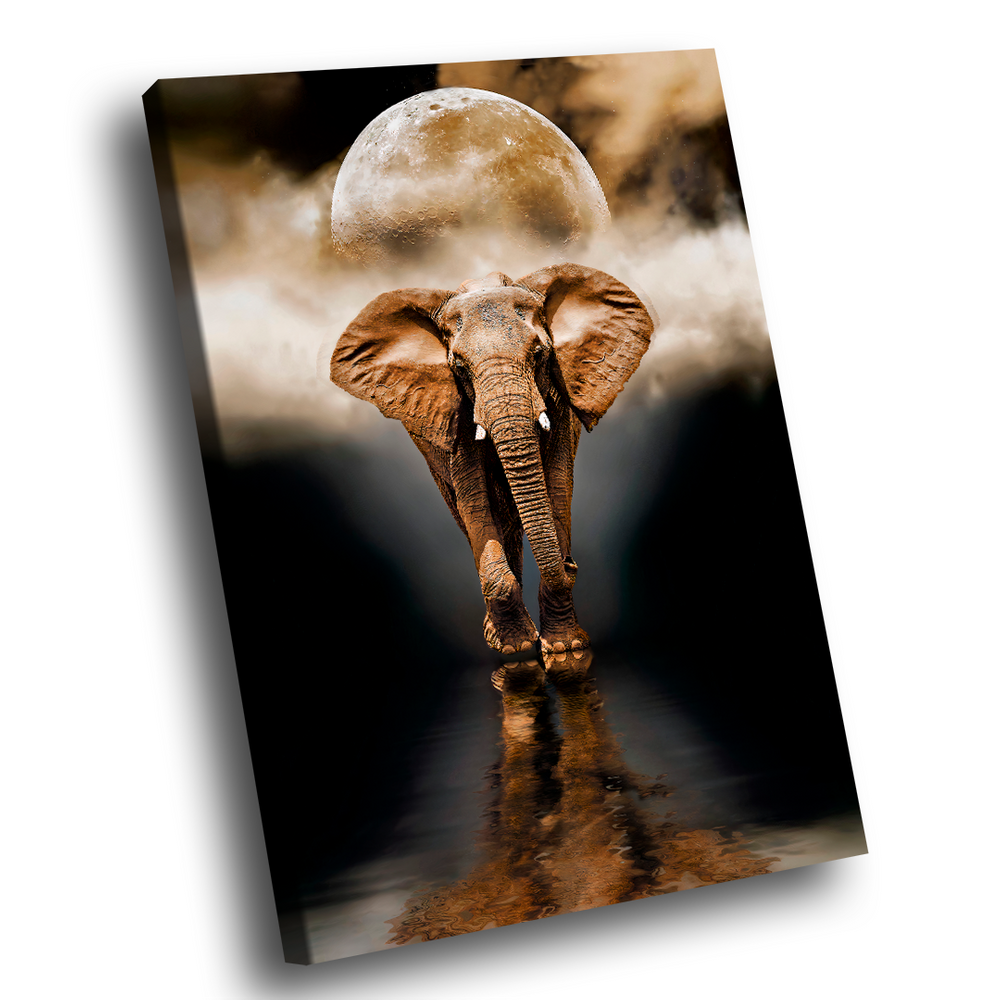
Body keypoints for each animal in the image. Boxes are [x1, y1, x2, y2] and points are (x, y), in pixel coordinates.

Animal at [329, 263, 653, 654]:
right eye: (459, 367)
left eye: (540, 355)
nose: (571, 563)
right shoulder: (454, 413)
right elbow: (474, 498)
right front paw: (515, 649)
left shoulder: (558, 401)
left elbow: (557, 483)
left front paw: (565, 648)